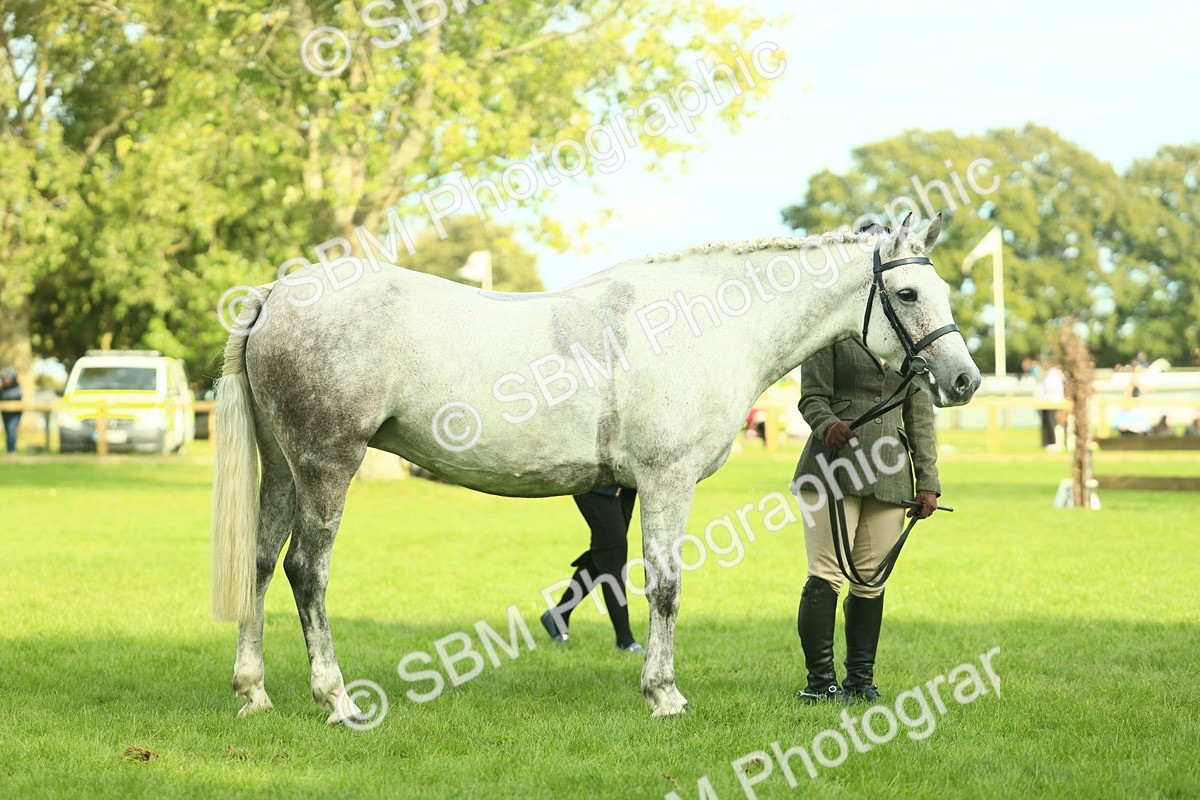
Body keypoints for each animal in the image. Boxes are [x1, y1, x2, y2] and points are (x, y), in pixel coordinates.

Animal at [211, 213, 980, 723]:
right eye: (908, 295)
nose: (964, 379)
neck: (704, 325)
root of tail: (275, 295)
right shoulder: (668, 481)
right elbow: (666, 587)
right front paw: (665, 694)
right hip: (326, 464)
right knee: (306, 570)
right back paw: (337, 699)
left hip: (283, 468)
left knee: (259, 563)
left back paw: (254, 693)